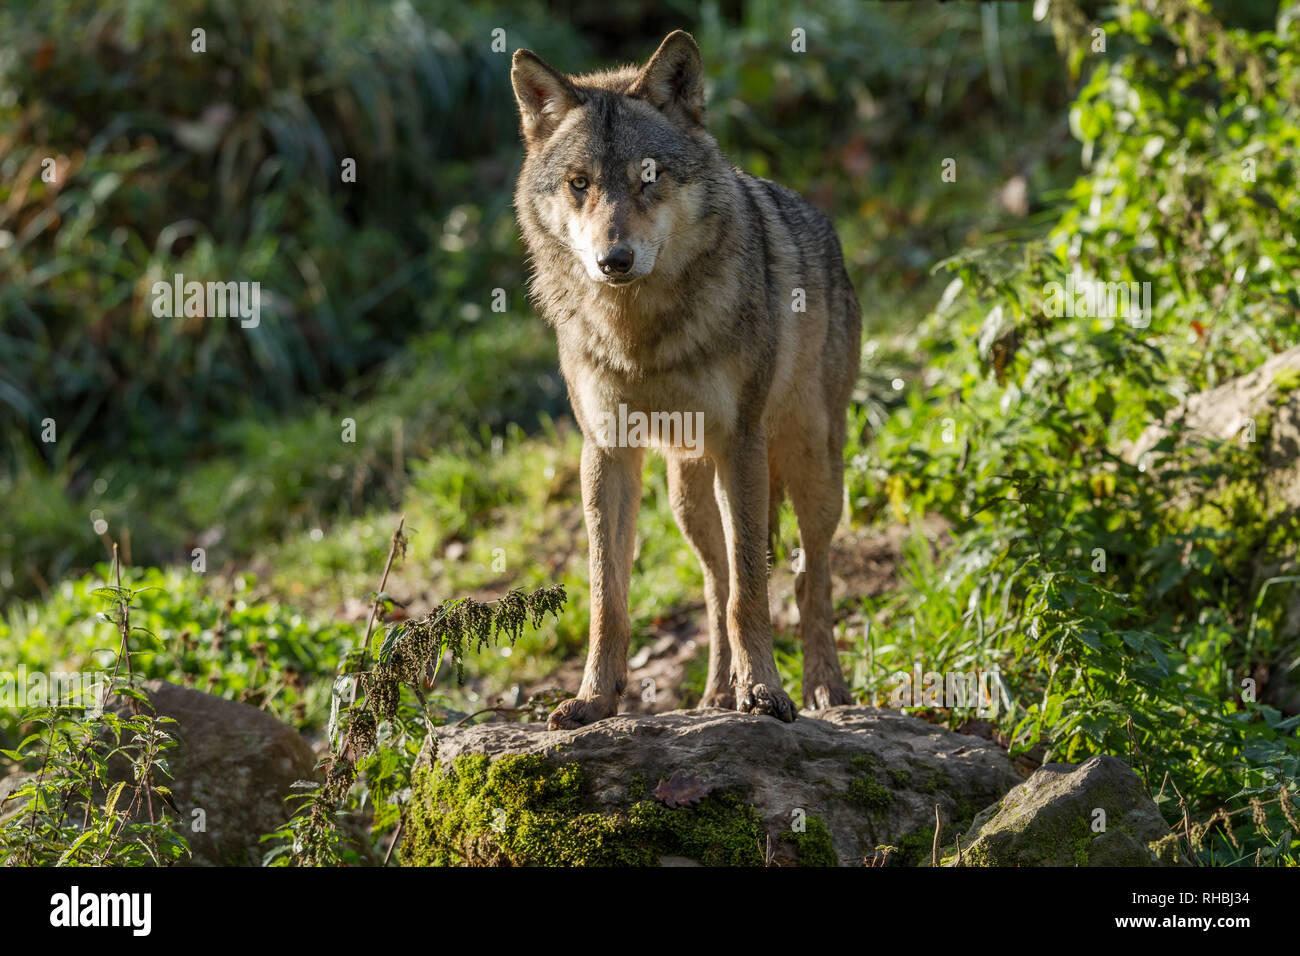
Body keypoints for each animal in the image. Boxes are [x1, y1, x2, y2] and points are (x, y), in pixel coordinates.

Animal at [510, 31, 862, 729]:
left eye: (648, 177)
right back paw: (715, 695)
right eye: (580, 184)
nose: (613, 260)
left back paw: (823, 690)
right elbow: (608, 601)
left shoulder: (741, 443)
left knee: (805, 576)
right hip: (686, 497)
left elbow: (753, 594)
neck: (639, 336)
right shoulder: (607, 453)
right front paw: (594, 701)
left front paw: (766, 693)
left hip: (809, 466)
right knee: (714, 583)